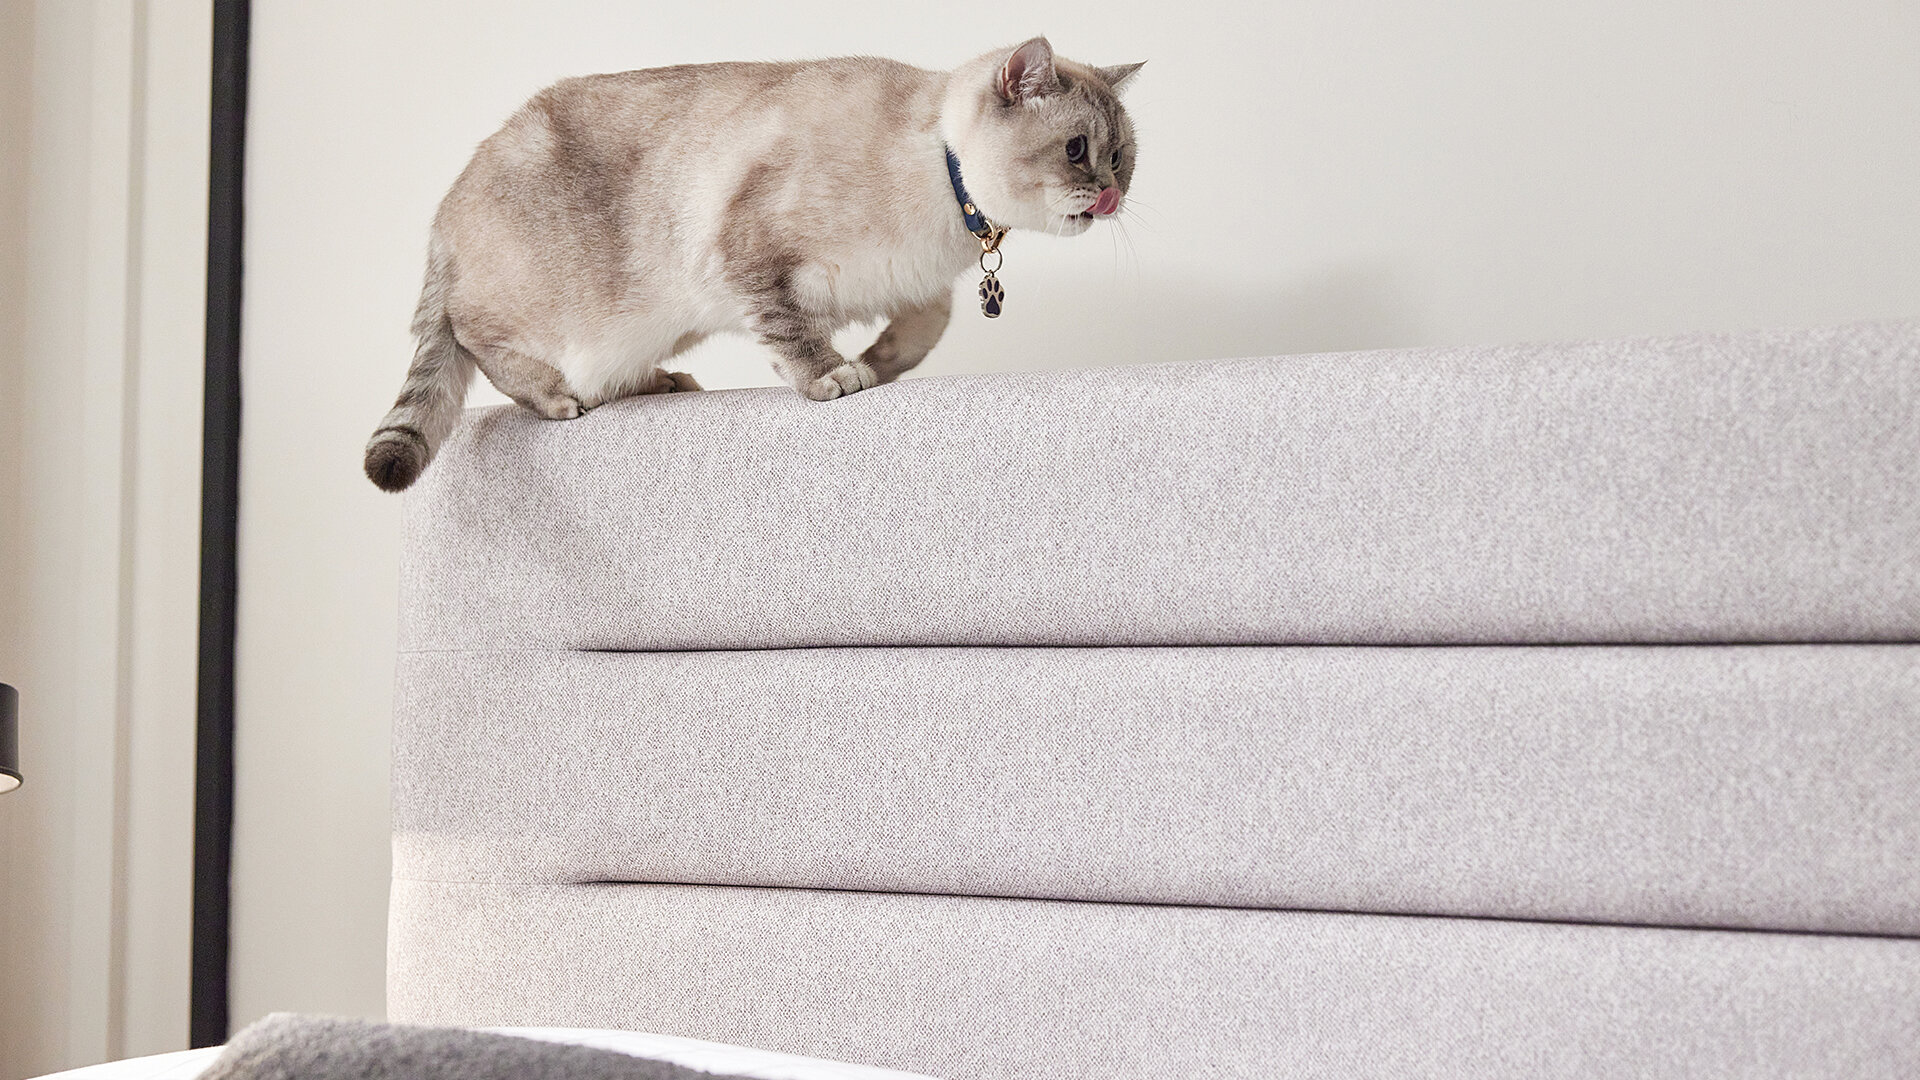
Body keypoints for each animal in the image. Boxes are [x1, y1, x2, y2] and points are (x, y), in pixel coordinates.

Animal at [363, 37, 1142, 492]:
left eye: (1122, 157)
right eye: (1077, 150)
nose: (1109, 195)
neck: (948, 199)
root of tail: (447, 206)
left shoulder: (919, 286)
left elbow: (924, 332)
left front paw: (877, 364)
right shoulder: (749, 254)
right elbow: (793, 336)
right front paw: (836, 377)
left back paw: (662, 384)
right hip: (557, 310)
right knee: (474, 339)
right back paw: (558, 398)